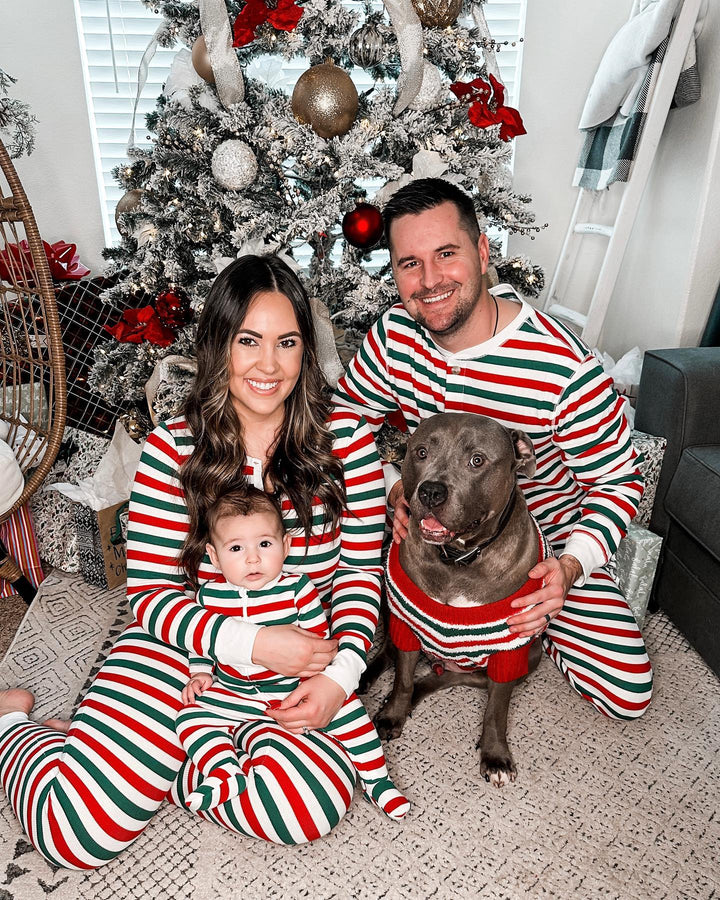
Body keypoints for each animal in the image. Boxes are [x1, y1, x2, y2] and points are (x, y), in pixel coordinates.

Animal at [374, 412, 548, 784]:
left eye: (477, 461)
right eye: (421, 452)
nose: (431, 491)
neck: (458, 559)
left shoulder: (510, 649)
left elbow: (497, 709)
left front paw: (495, 755)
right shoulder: (407, 624)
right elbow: (402, 678)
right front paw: (394, 713)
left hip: (532, 655)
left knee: (458, 678)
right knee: (393, 657)